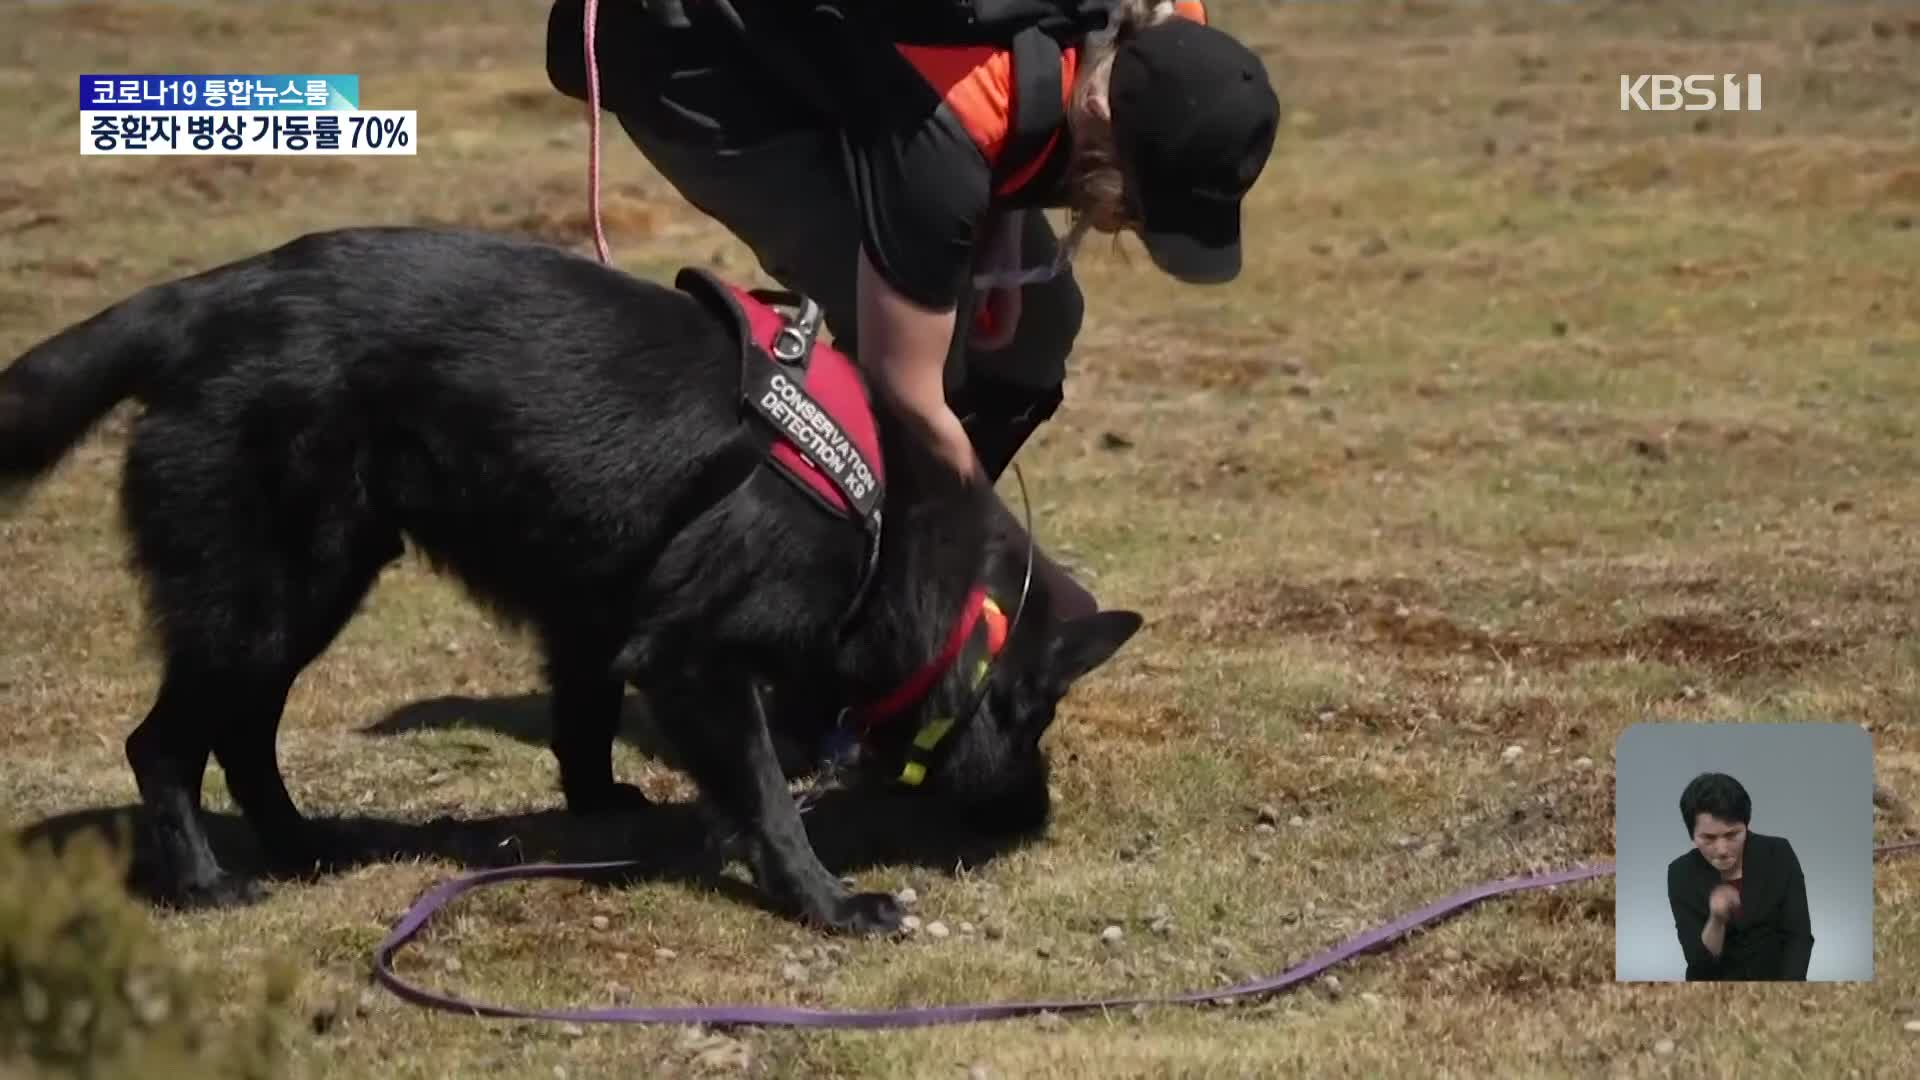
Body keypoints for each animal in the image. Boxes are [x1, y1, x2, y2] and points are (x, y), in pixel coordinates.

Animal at [0, 226, 1136, 933]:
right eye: (1037, 716)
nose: (1034, 820)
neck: (889, 522)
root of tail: (203, 302)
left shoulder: (599, 611)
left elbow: (585, 717)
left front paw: (600, 808)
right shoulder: (692, 656)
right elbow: (768, 794)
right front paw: (827, 899)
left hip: (311, 589)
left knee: (241, 734)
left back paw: (301, 846)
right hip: (267, 593)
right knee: (163, 744)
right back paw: (203, 882)